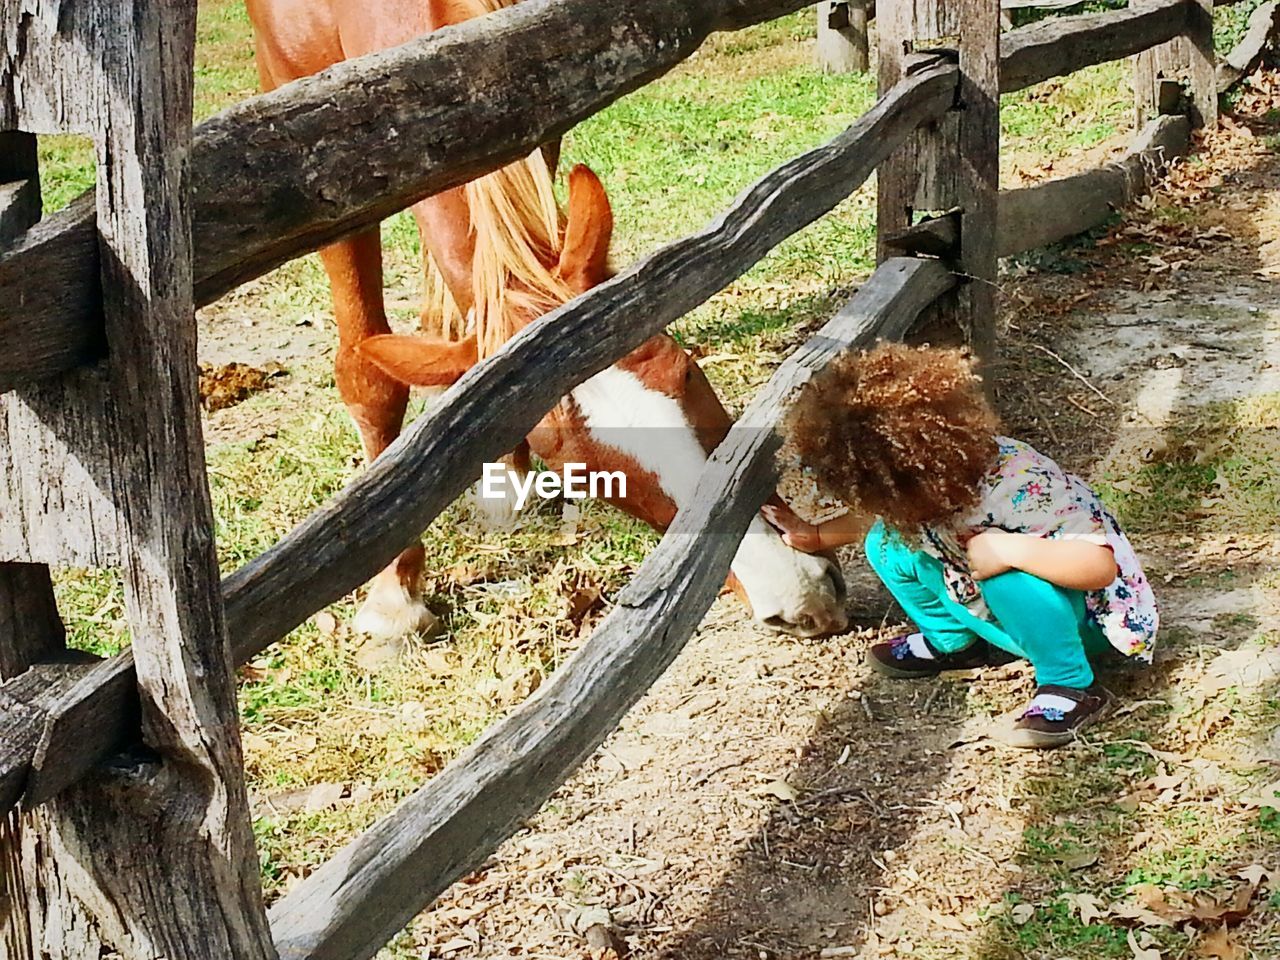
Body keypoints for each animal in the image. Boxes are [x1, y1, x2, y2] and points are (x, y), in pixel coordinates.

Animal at [248, 1, 849, 647]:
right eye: (576, 472)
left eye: (686, 371)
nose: (801, 594)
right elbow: (369, 373)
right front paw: (394, 596)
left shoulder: (537, 108)